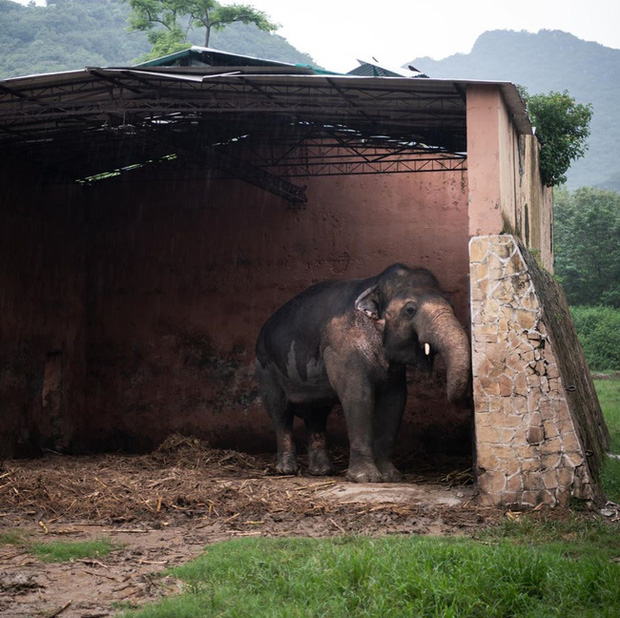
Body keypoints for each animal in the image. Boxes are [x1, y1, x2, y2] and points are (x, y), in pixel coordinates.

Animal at [256, 260, 470, 482]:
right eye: (410, 310)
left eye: (452, 306)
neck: (375, 284)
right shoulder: (343, 348)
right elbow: (358, 396)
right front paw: (366, 478)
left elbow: (395, 400)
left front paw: (391, 476)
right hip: (265, 367)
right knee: (280, 412)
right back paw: (286, 470)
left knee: (317, 414)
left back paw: (322, 471)